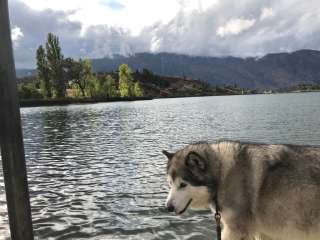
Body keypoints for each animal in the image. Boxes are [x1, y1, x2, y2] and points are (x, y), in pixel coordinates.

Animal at [164, 141, 320, 240]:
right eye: (170, 183)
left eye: (183, 184)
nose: (168, 208)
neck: (221, 176)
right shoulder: (263, 232)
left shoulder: (235, 230)